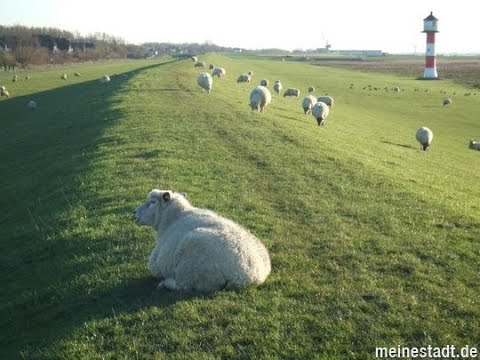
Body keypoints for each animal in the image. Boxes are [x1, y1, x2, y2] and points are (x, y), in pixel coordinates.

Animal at [133, 190, 272, 292]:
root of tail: (249, 277)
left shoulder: (157, 263)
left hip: (191, 269)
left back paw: (165, 283)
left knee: (184, 286)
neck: (172, 219)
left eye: (152, 202)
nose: (134, 213)